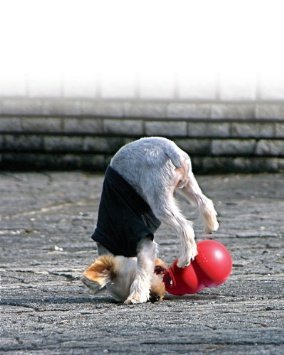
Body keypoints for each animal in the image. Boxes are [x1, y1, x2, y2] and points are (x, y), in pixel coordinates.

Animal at [82, 138, 220, 304]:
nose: (157, 296)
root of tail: (169, 148)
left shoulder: (141, 240)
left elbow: (142, 269)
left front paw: (136, 296)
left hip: (158, 197)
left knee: (185, 227)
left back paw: (185, 258)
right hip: (186, 184)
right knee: (204, 201)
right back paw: (211, 225)